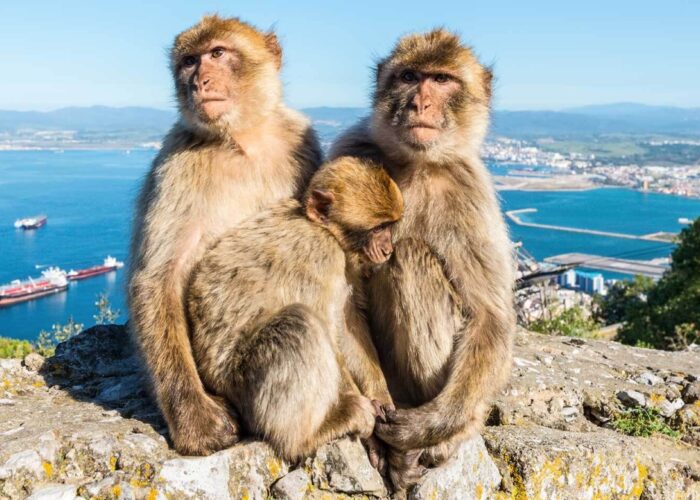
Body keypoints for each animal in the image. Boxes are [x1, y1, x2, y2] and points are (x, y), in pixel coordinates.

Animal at [127, 15, 323, 456]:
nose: (198, 81)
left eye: (217, 53)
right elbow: (158, 279)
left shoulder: (303, 141)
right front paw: (195, 419)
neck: (243, 141)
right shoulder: (175, 166)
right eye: (189, 61)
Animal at [185, 156, 404, 461]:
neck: (327, 231)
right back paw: (307, 436)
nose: (387, 250)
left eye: (389, 226)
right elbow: (328, 328)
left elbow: (348, 324)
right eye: (377, 229)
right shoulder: (322, 254)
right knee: (299, 323)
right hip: (241, 382)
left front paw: (380, 396)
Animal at [329, 29, 515, 490]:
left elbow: (490, 316)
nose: (420, 103)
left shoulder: (471, 190)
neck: (417, 163)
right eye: (410, 77)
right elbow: (342, 306)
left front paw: (429, 426)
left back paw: (430, 440)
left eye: (443, 79)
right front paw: (373, 419)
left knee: (410, 256)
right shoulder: (348, 150)